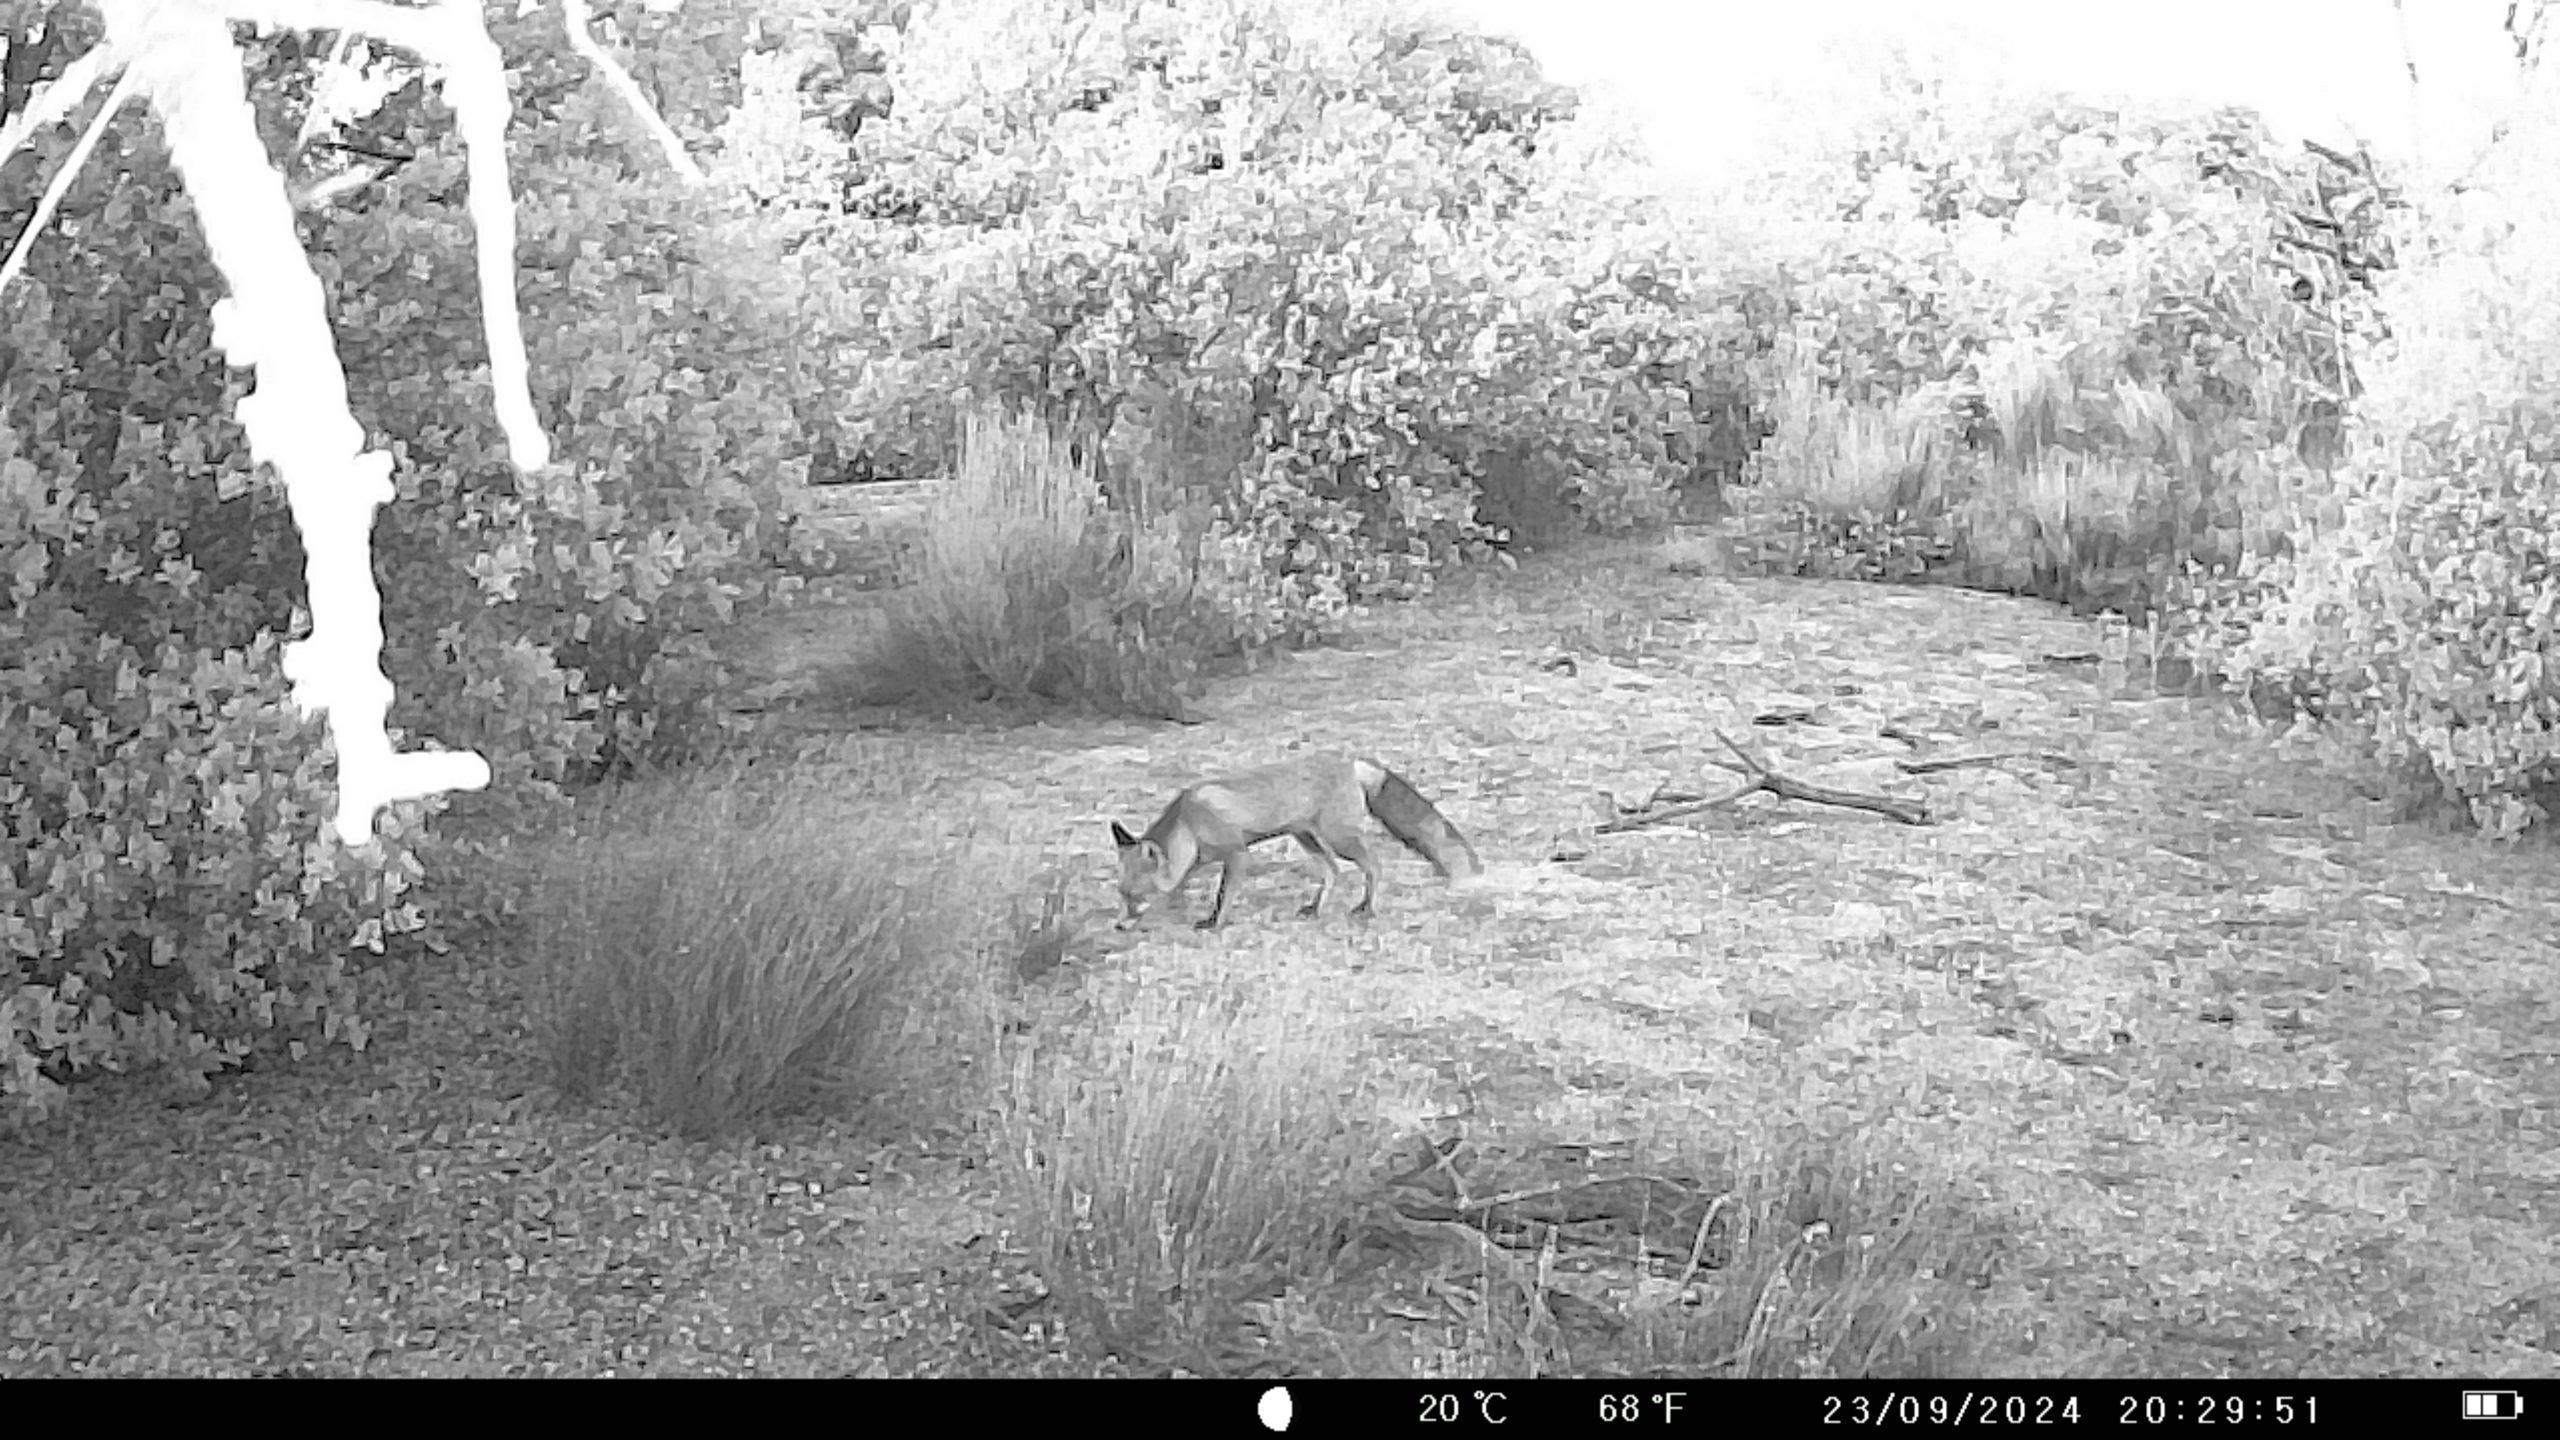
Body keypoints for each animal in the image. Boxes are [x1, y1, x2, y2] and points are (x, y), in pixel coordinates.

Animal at [1105, 753, 1484, 932]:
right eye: (1121, 896)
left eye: (1133, 897)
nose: (1119, 926)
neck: (1188, 823)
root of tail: (1351, 761)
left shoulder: (1237, 853)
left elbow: (1223, 896)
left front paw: (1216, 925)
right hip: (1306, 837)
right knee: (1332, 872)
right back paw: (1315, 909)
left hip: (1338, 837)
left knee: (1374, 864)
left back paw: (1367, 907)